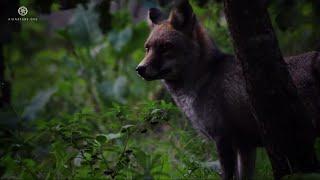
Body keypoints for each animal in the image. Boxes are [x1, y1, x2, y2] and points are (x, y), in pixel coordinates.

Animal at [136, 0, 320, 179]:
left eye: (166, 47)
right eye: (147, 48)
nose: (140, 69)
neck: (204, 79)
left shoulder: (224, 140)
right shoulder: (245, 146)